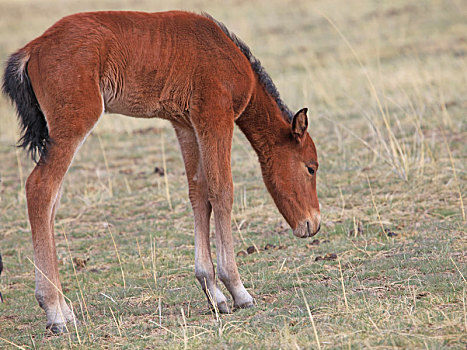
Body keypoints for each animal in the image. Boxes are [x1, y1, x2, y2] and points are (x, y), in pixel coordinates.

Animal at [1, 10, 320, 332]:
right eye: (311, 168)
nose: (313, 223)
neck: (227, 53)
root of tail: (33, 48)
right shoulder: (215, 116)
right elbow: (222, 192)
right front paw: (238, 290)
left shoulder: (185, 125)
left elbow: (199, 194)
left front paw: (213, 293)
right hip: (75, 123)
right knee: (40, 189)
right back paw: (54, 311)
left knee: (52, 201)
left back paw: (66, 310)